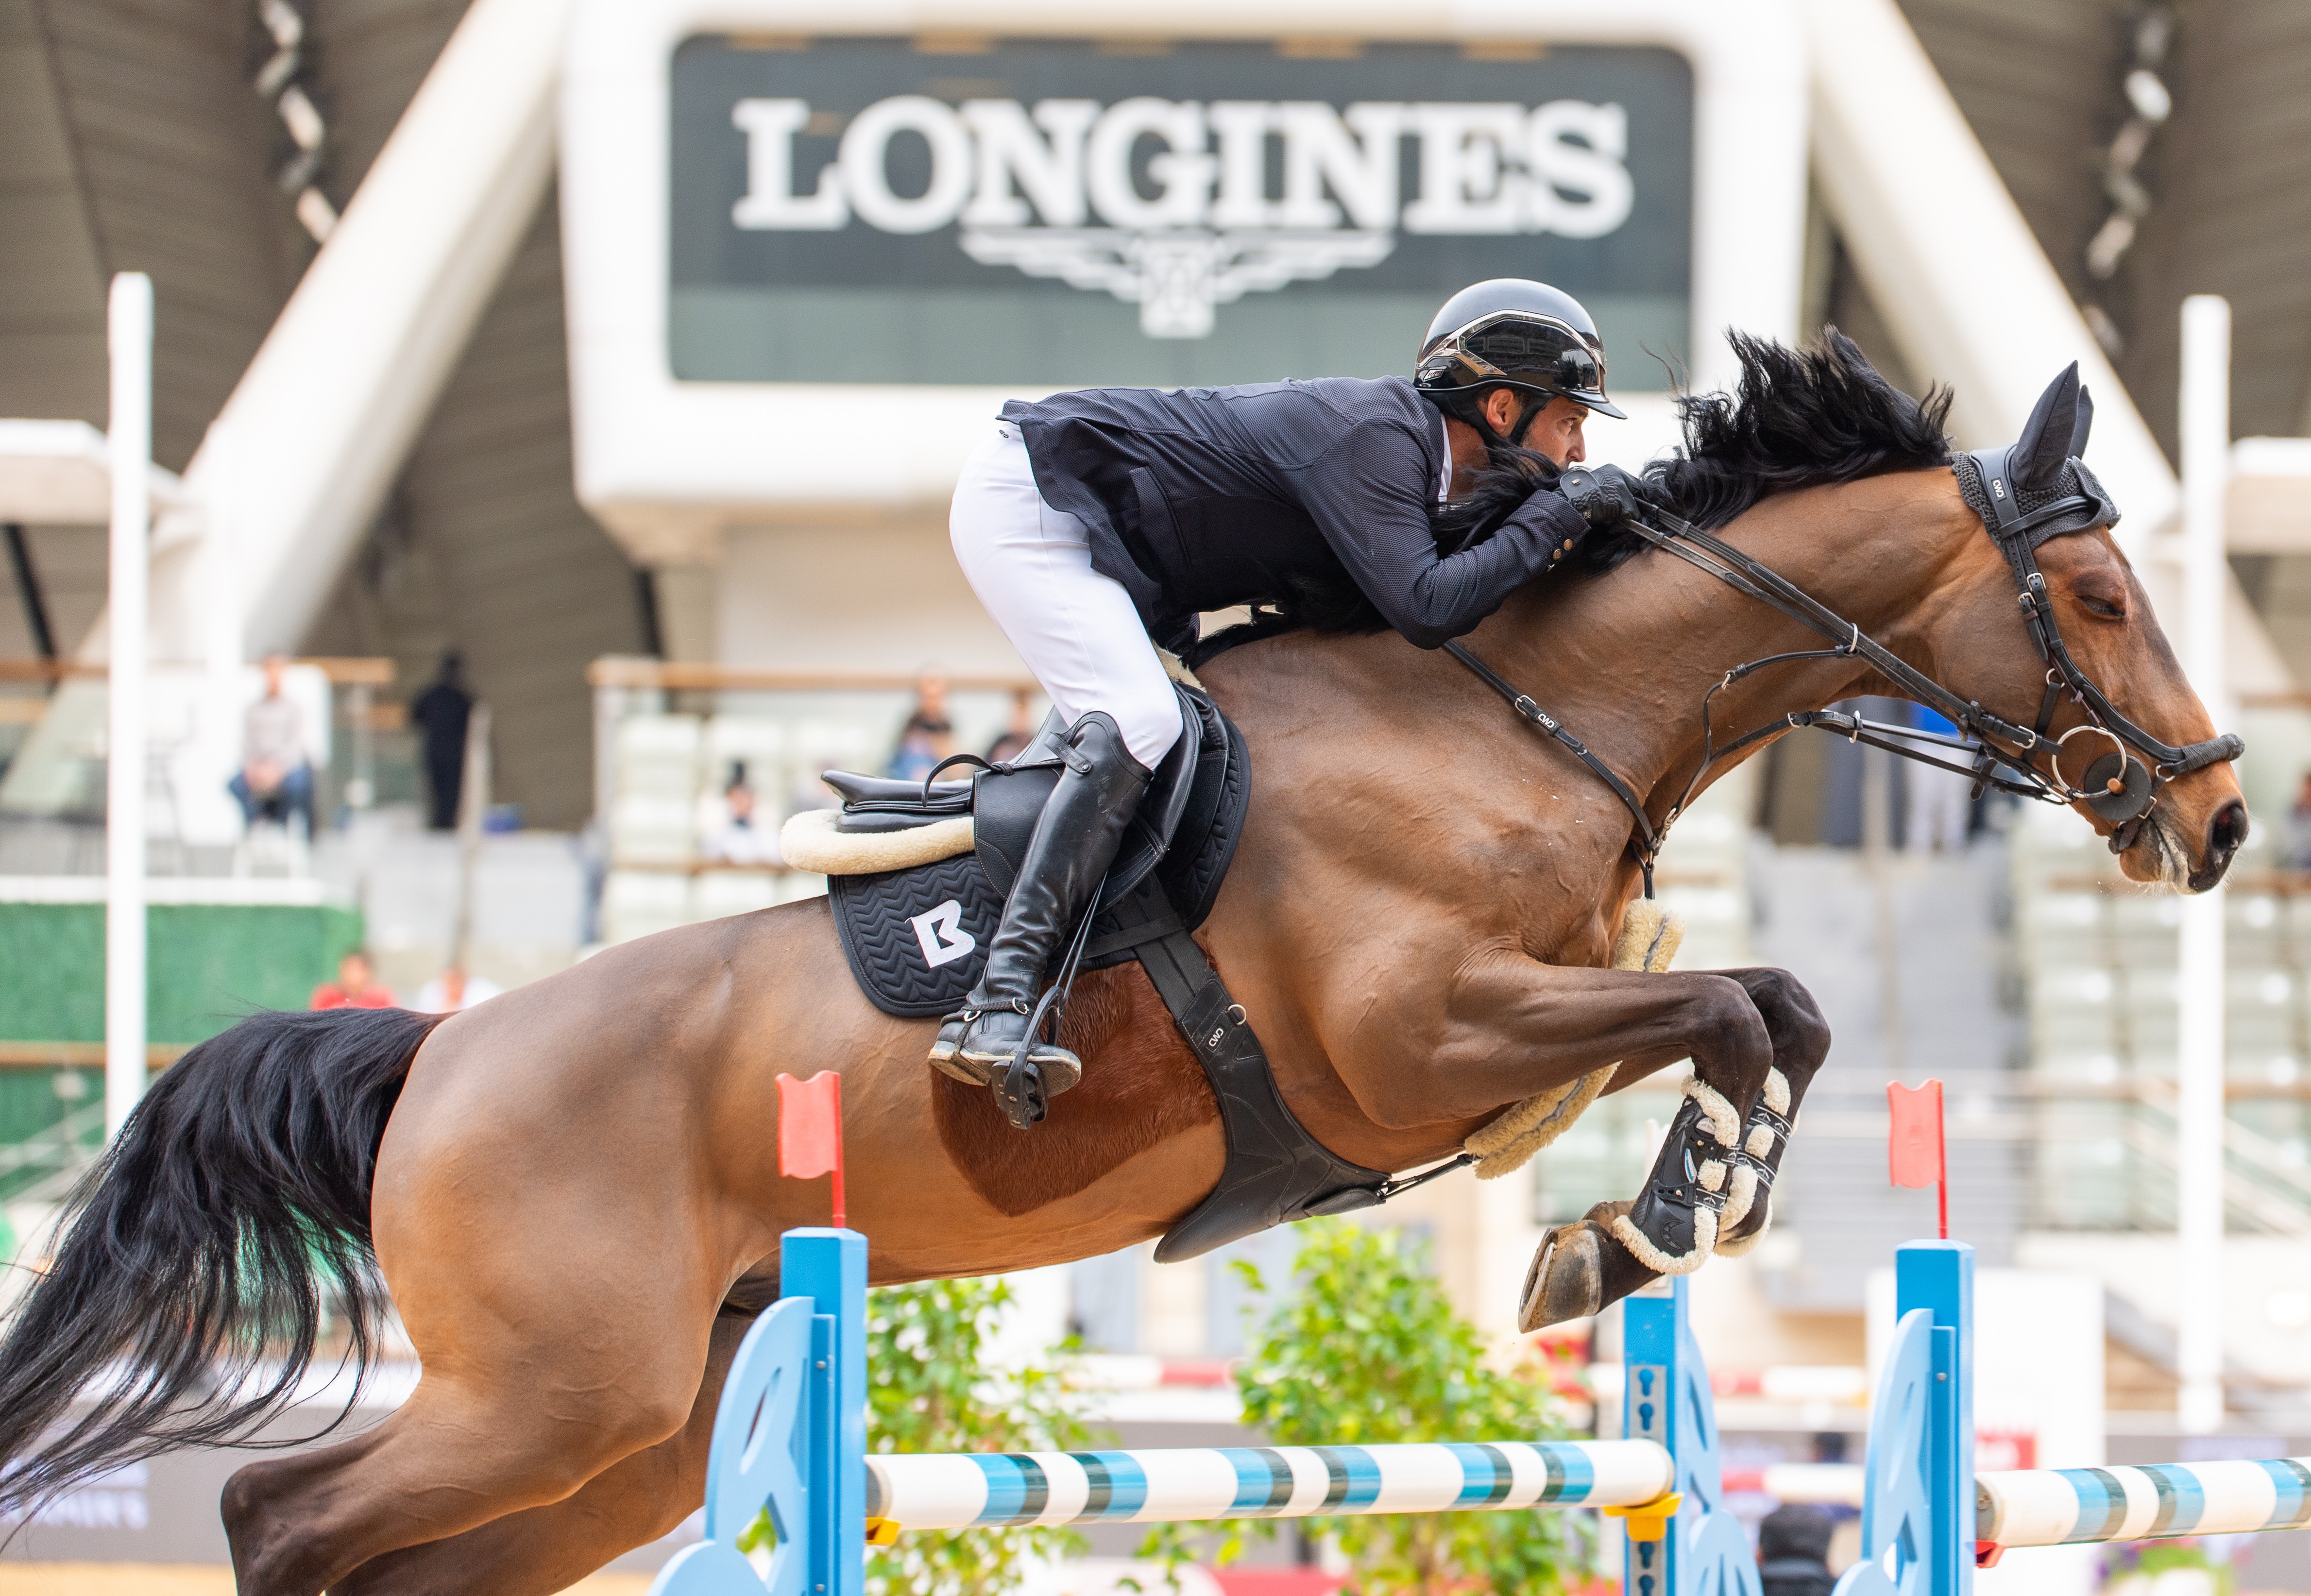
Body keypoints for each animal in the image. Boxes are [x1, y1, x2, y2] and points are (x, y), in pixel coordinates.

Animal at [0, 335, 2246, 1595]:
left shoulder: (1515, 1031)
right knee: (283, 1523)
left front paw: (1619, 1232)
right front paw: (1653, 1220)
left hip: (620, 1425)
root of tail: (428, 1057)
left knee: (396, 1549)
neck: (1530, 711)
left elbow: (1764, 1006)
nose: (2222, 818)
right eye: (2092, 591)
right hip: (559, 1385)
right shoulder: (1416, 1037)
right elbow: (1737, 1004)